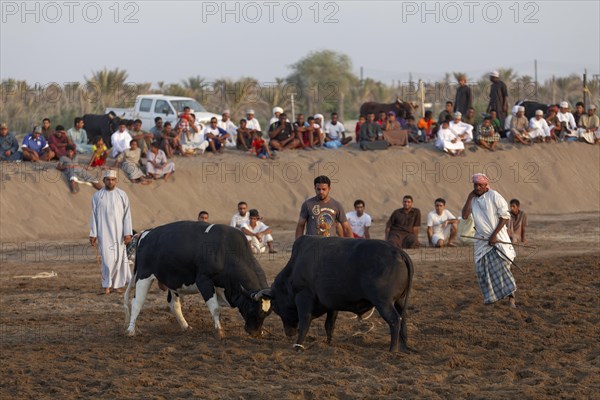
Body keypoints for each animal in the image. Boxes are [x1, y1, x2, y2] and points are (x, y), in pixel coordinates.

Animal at [123, 220, 272, 340]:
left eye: (267, 314)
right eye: (253, 309)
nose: (256, 333)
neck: (224, 250)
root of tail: (146, 233)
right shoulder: (204, 281)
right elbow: (216, 309)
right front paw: (219, 332)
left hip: (172, 282)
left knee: (174, 304)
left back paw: (186, 327)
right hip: (143, 276)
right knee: (137, 302)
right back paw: (130, 330)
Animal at [270, 236, 414, 352]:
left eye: (276, 307)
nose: (289, 333)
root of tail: (399, 252)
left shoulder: (304, 296)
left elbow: (305, 322)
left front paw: (298, 346)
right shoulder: (331, 305)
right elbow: (329, 325)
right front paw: (328, 343)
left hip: (384, 303)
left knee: (394, 320)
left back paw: (393, 349)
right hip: (399, 302)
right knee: (403, 318)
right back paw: (403, 346)